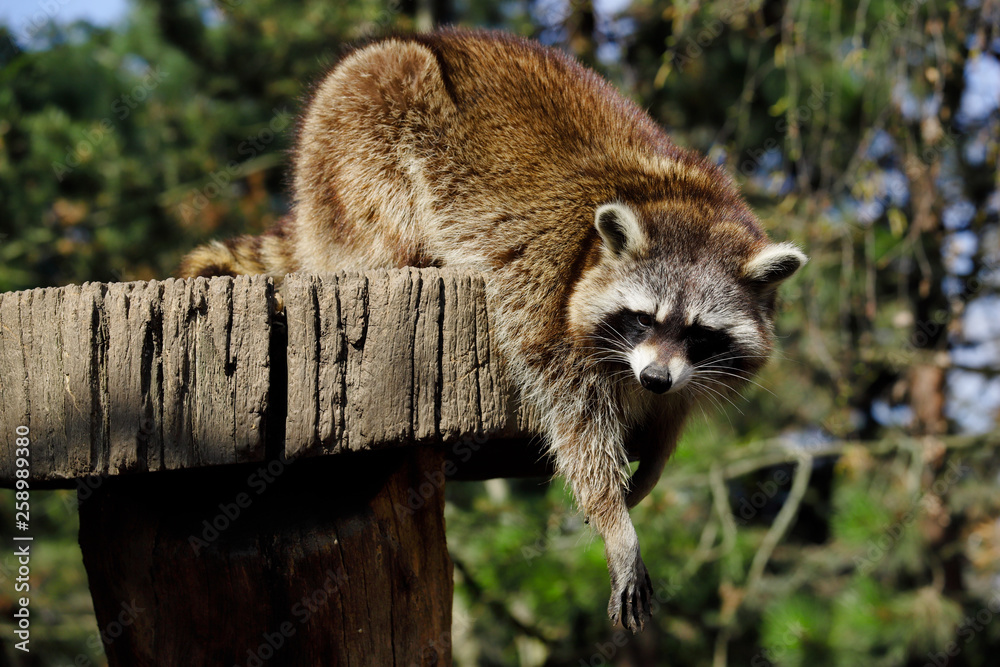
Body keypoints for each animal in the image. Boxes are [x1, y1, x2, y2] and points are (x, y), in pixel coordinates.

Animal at [179, 28, 806, 632]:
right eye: (642, 318)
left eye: (700, 334)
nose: (653, 378)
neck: (683, 200)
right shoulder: (546, 300)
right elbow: (575, 424)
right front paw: (615, 521)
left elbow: (674, 406)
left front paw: (655, 452)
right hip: (356, 132)